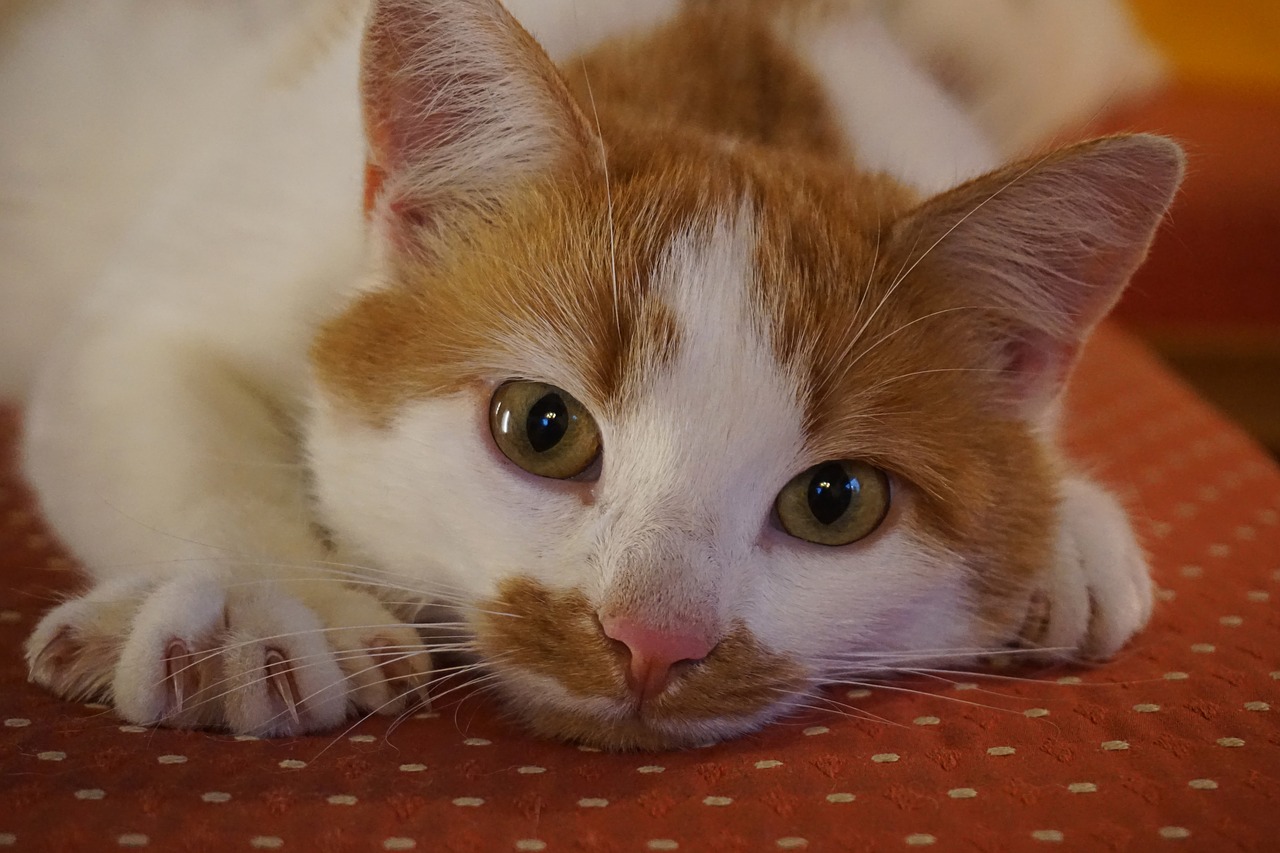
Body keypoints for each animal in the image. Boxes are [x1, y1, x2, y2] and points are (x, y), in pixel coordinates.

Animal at [5, 0, 1177, 747]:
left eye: (835, 500)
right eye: (542, 427)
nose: (652, 640)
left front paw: (1065, 527)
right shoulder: (219, 254)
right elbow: (150, 371)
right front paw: (258, 600)